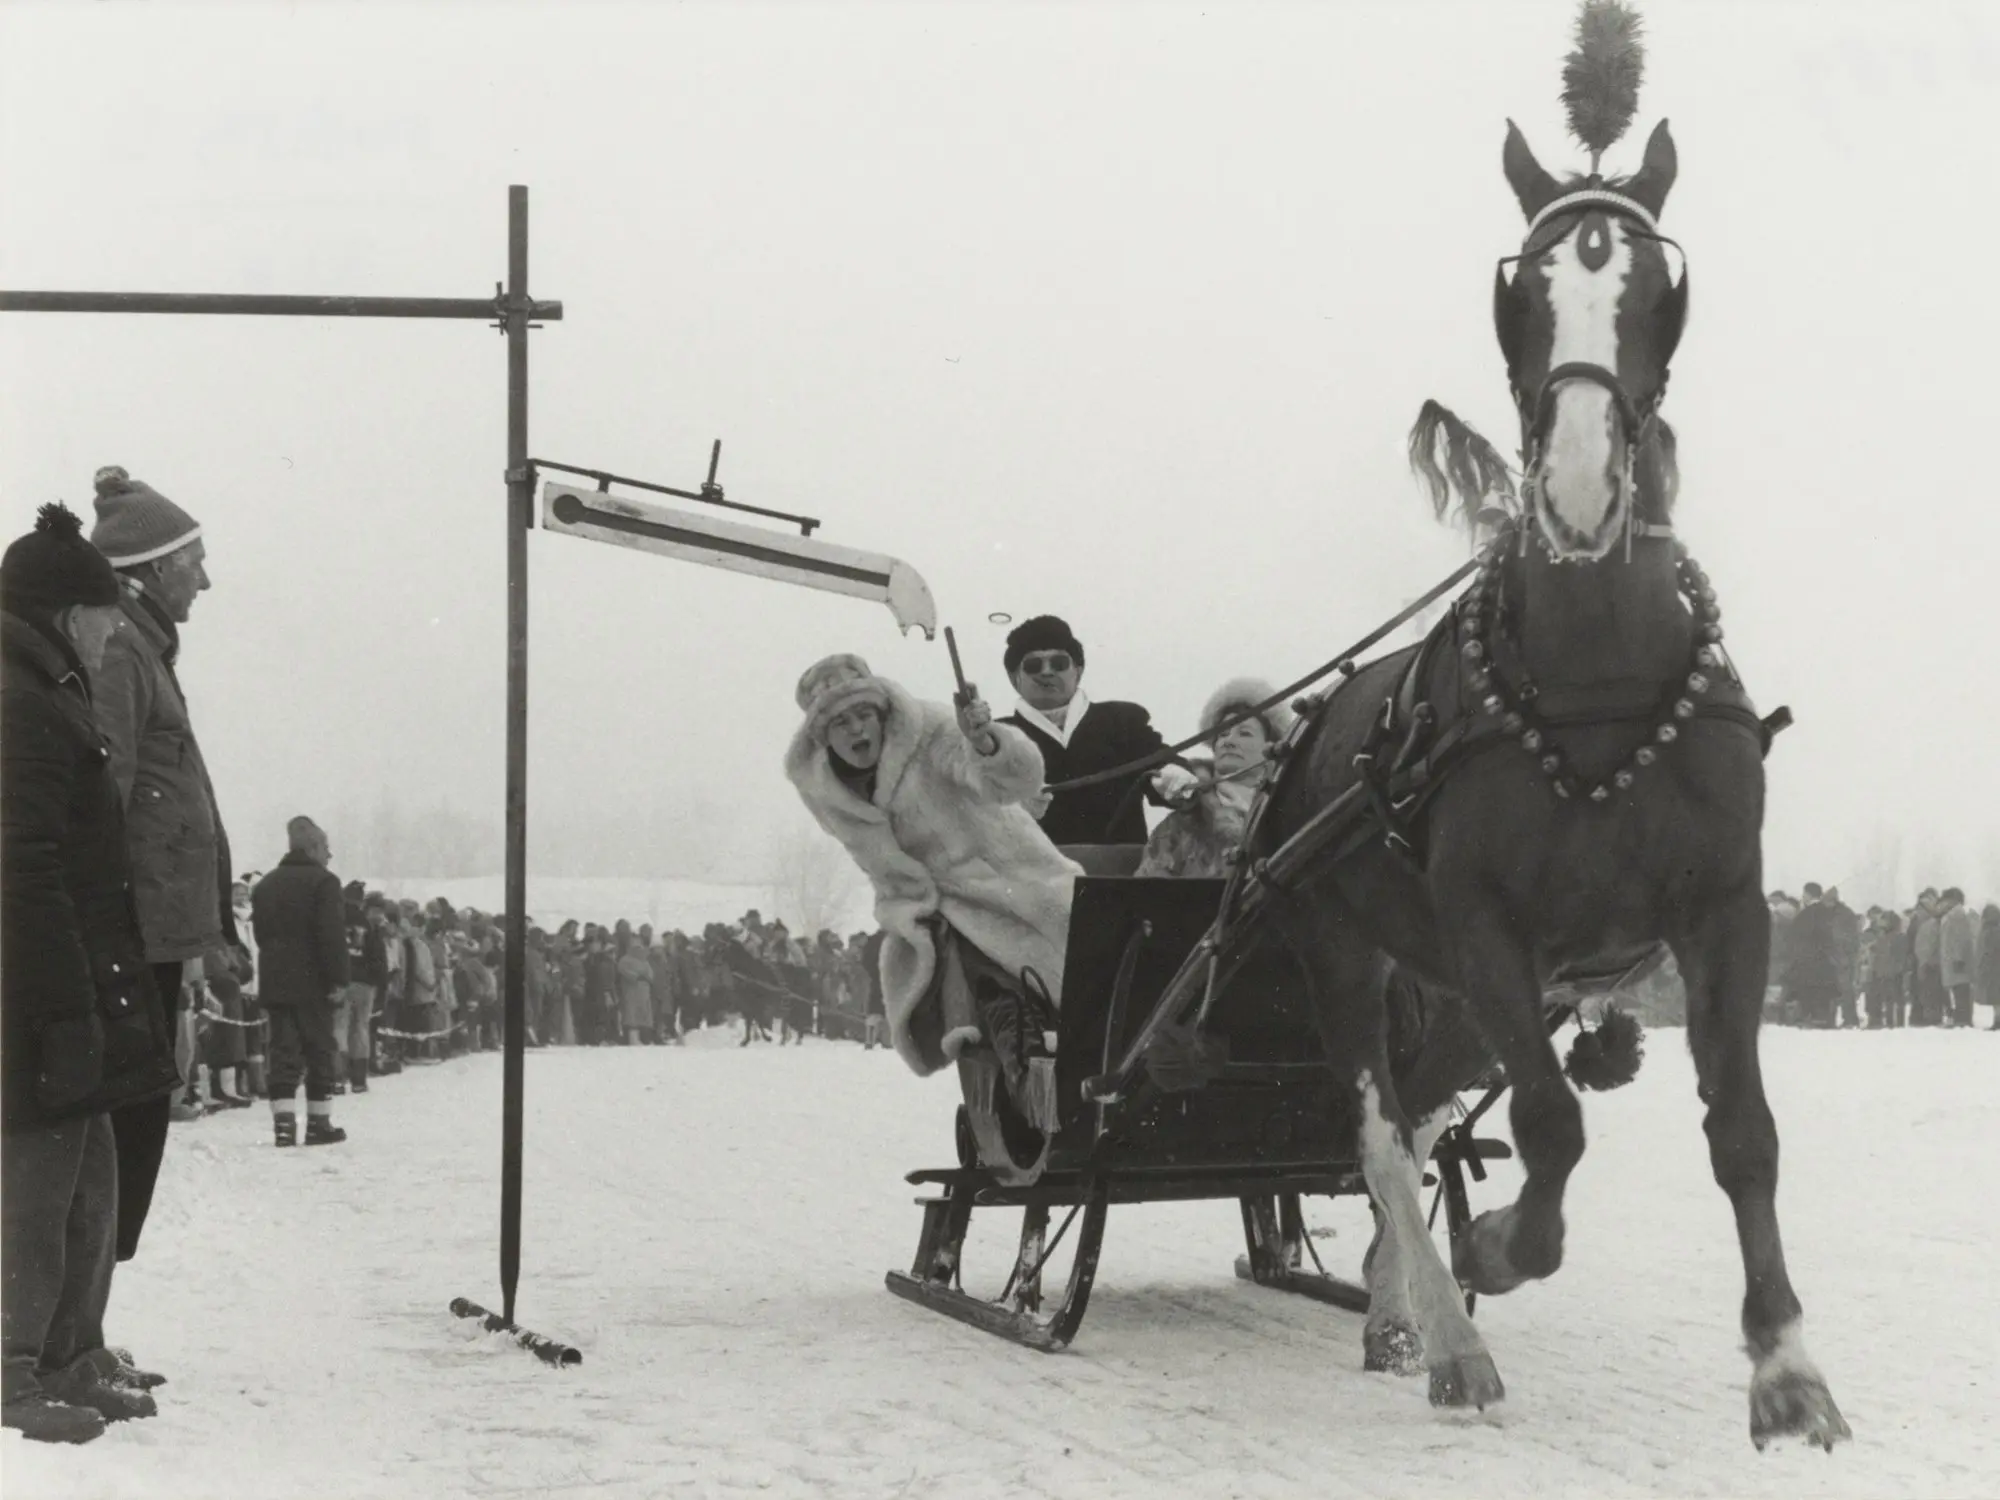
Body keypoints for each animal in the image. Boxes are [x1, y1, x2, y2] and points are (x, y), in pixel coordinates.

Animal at [1256, 117, 1848, 1456]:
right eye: (1520, 294)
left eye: (1653, 290)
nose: (1580, 487)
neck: (1598, 681)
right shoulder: (1487, 927)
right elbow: (1546, 1127)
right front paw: (1496, 1247)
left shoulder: (1721, 909)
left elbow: (1743, 1135)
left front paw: (1785, 1369)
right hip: (1345, 954)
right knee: (1380, 1135)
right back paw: (1451, 1331)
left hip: (1454, 1002)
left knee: (1424, 1118)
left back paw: (1392, 1312)